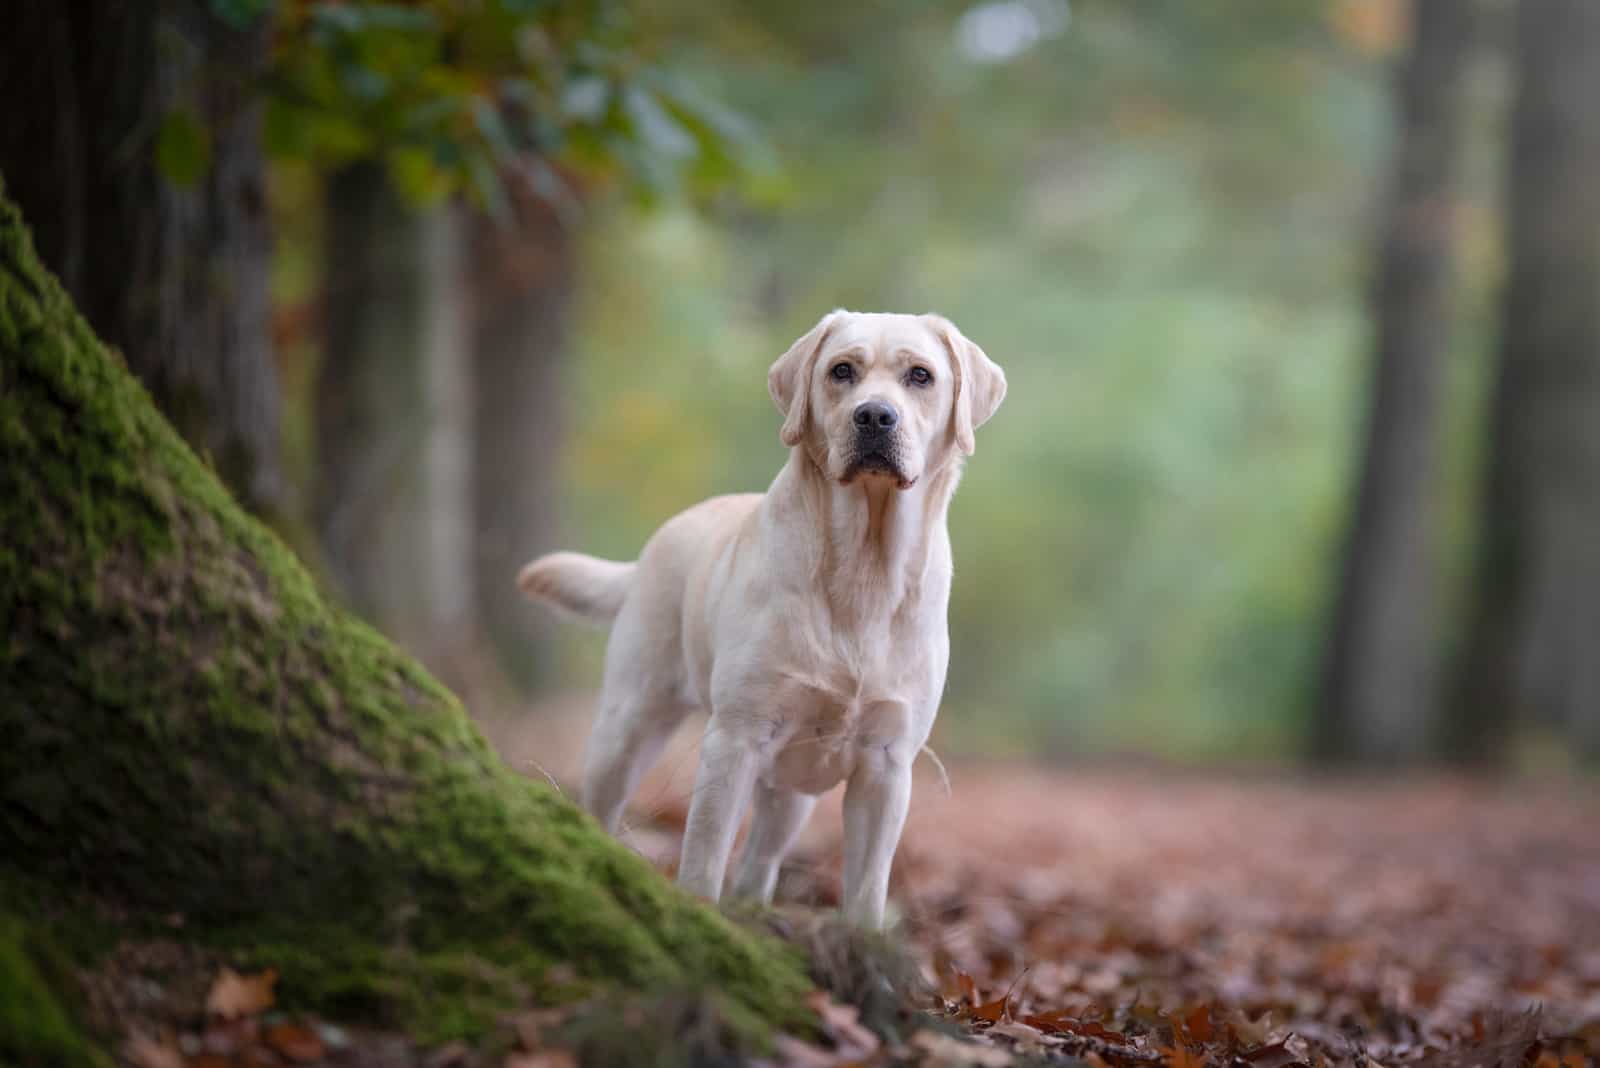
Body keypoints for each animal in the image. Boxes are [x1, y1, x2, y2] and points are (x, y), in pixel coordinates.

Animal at [521, 308, 998, 927]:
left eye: (921, 376)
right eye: (842, 371)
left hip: (793, 788)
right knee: (602, 803)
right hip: (627, 723)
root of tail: (653, 546)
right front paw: (698, 915)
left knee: (760, 862)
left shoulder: (888, 765)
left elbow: (867, 888)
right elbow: (703, 857)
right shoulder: (736, 739)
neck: (864, 569)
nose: (874, 415)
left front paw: (863, 943)